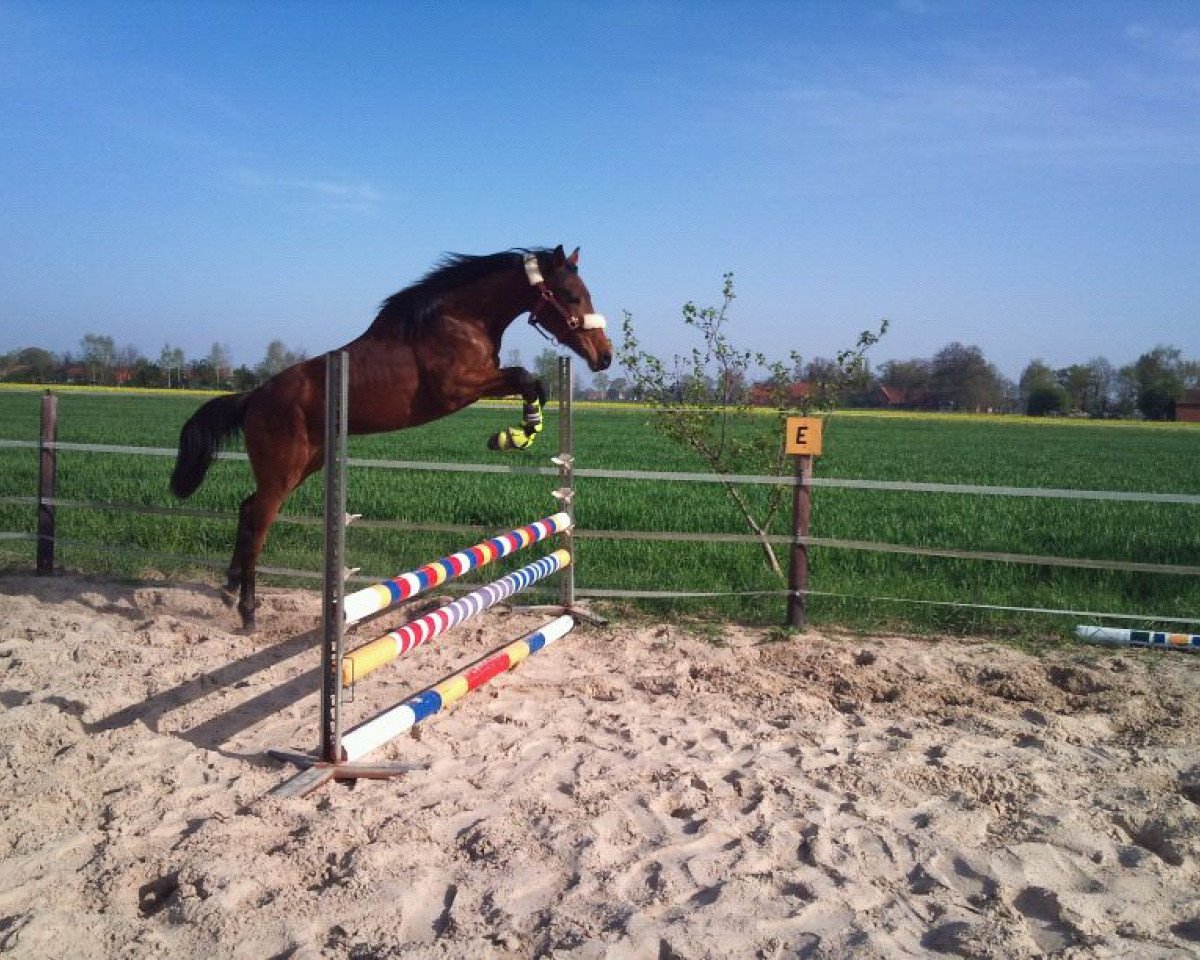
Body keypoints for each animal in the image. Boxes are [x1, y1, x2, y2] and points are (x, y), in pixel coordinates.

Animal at [169, 245, 612, 630]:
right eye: (571, 295)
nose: (604, 356)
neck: (461, 319)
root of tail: (254, 397)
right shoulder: (459, 389)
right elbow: (527, 378)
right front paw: (515, 436)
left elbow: (532, 384)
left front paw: (520, 433)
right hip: (282, 472)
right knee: (258, 521)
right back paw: (247, 611)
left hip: (304, 465)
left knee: (247, 509)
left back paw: (229, 588)